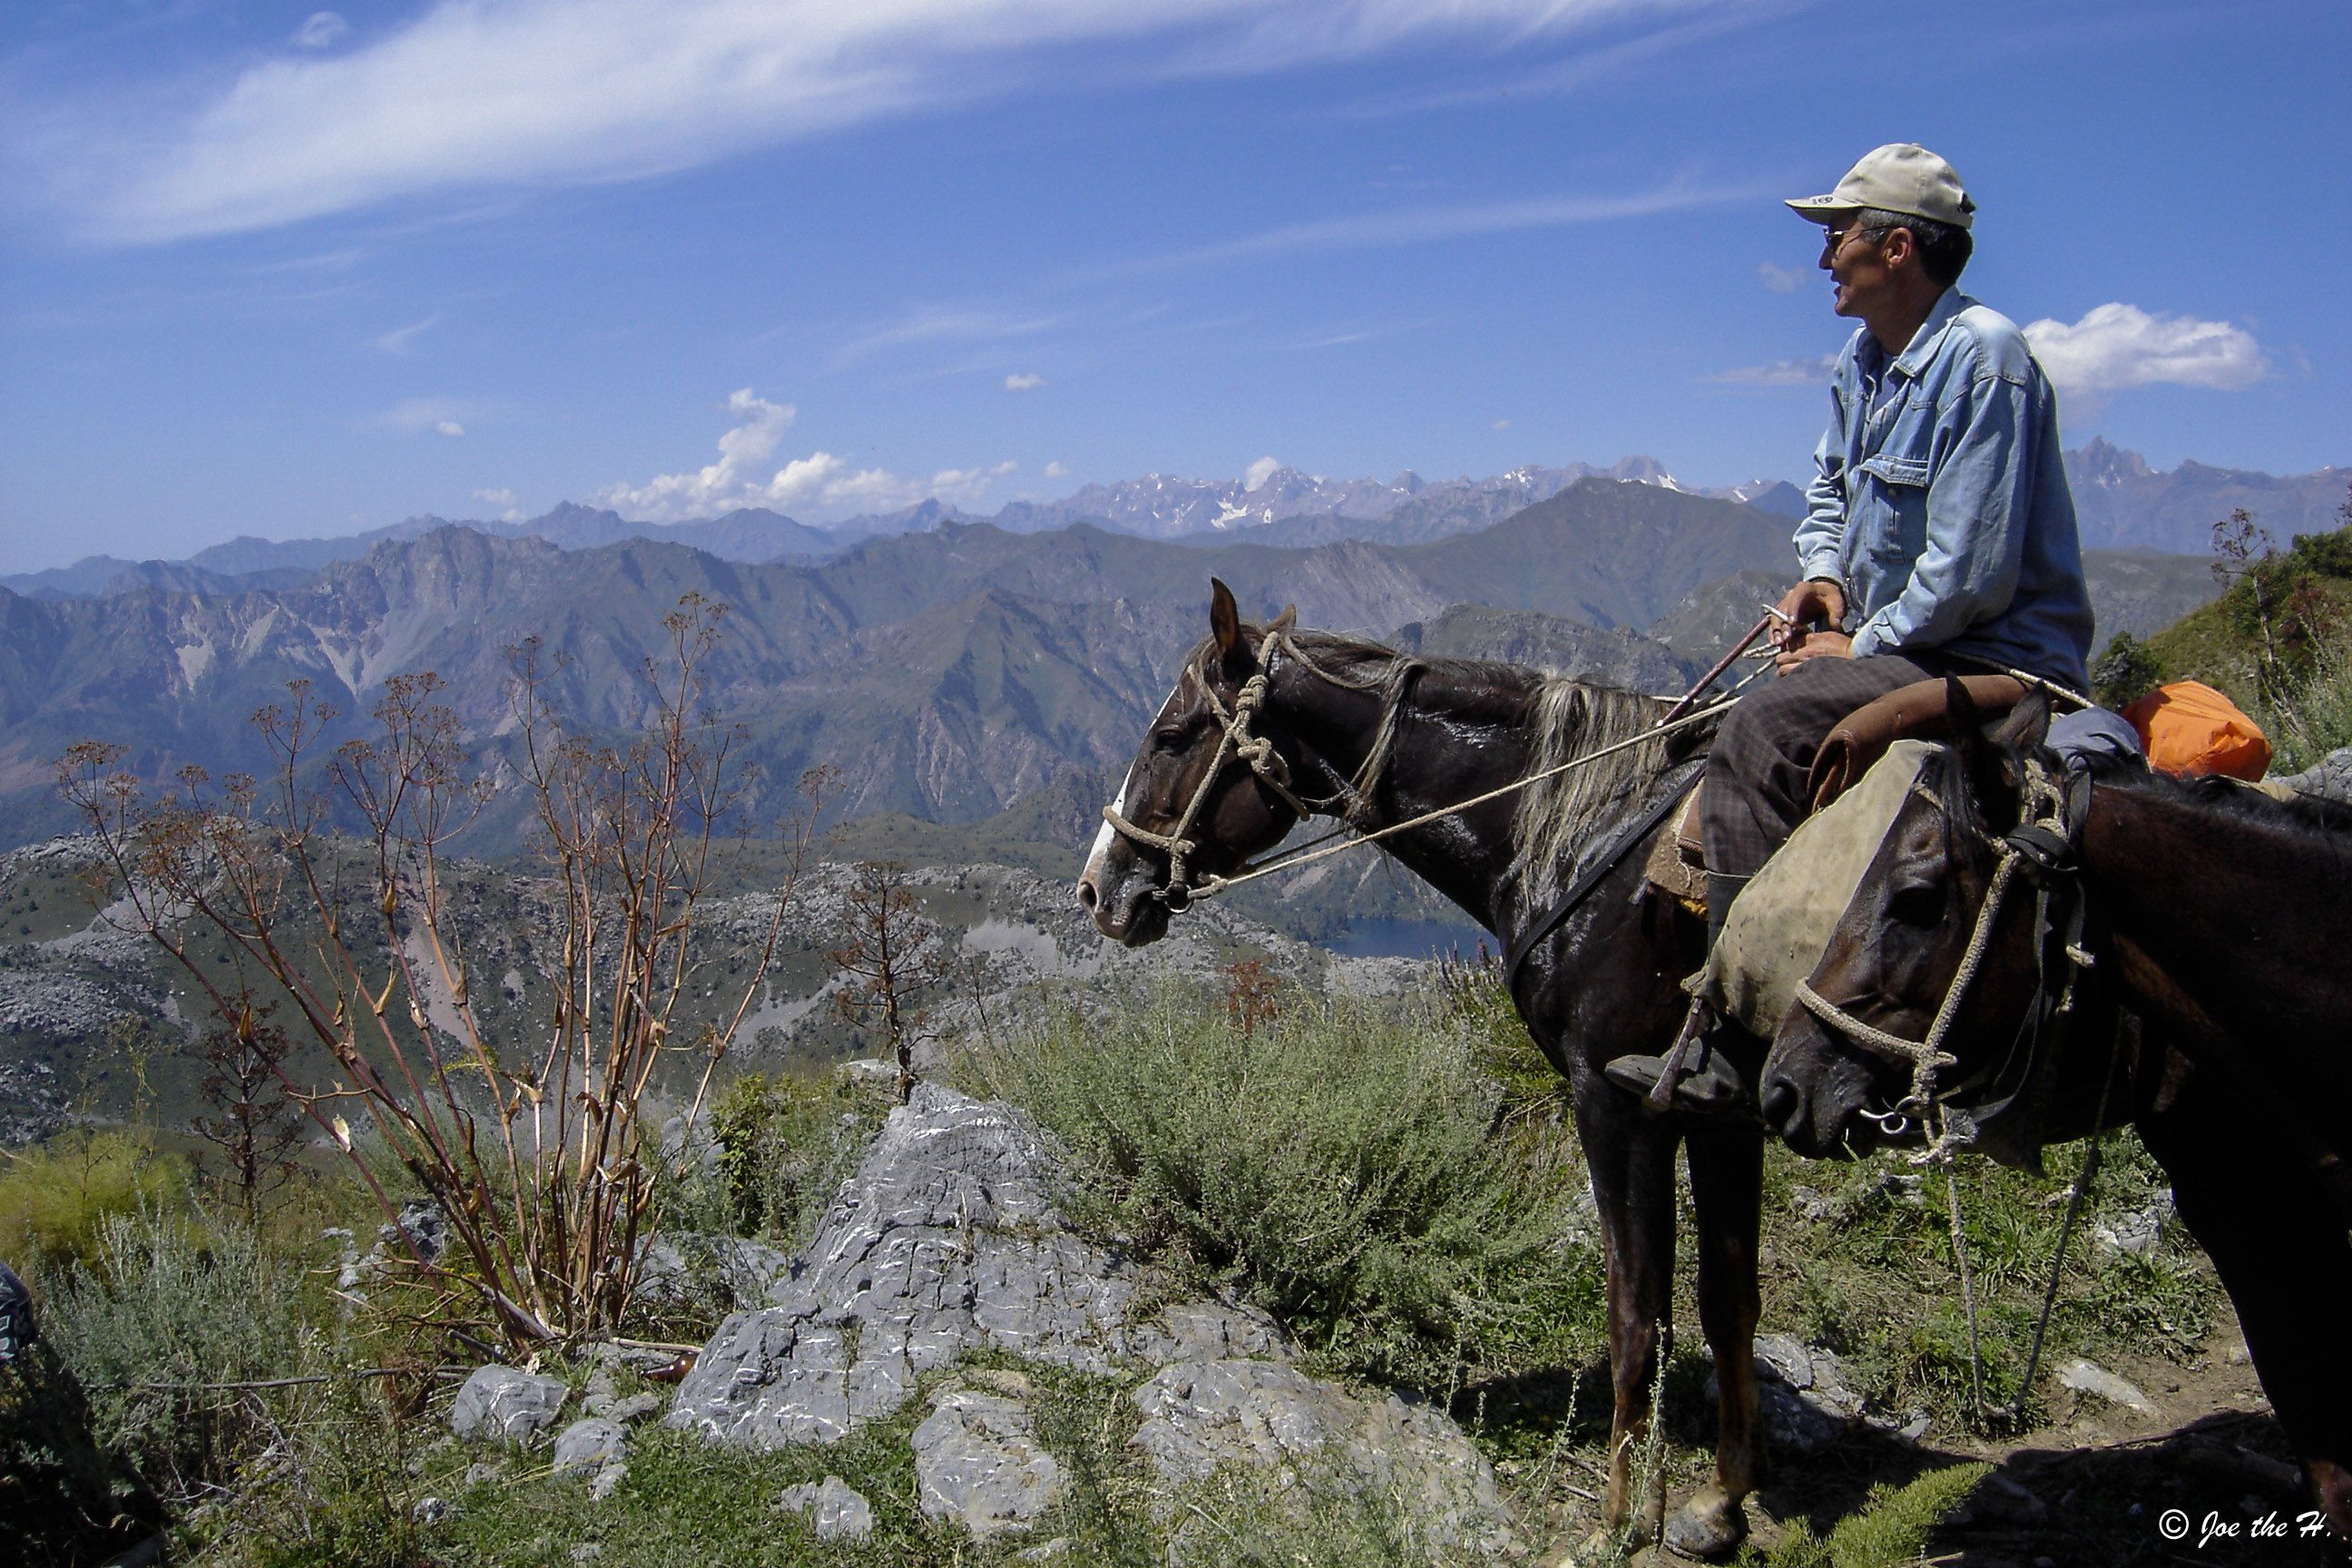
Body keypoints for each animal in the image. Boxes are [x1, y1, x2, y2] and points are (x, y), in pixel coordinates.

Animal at [1076, 581, 1763, 1559]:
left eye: (1172, 735)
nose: (1098, 888)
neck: (1591, 839)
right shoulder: (1721, 1113)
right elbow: (1727, 1301)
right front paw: (1720, 1502)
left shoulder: (1617, 1102)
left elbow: (1639, 1316)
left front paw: (1623, 1523)